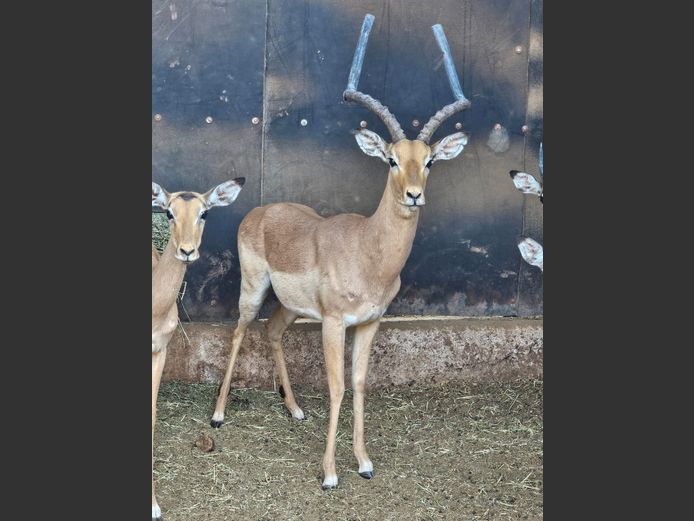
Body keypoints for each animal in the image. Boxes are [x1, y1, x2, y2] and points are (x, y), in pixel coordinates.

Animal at [211, 15, 471, 490]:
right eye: (390, 158)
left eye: (428, 161)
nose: (414, 195)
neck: (369, 252)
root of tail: (260, 210)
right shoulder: (334, 323)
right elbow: (337, 386)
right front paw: (330, 473)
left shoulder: (369, 323)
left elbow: (361, 382)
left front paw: (364, 462)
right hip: (253, 290)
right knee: (240, 331)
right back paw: (218, 416)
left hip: (291, 307)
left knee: (272, 332)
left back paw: (295, 410)